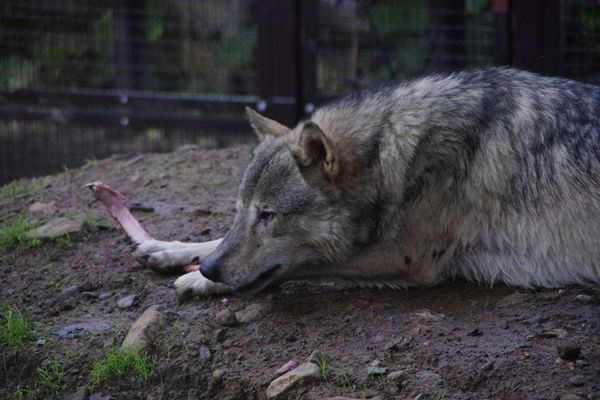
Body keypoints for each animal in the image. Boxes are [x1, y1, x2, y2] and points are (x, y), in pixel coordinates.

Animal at [127, 67, 600, 297]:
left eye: (269, 216)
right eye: (242, 213)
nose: (210, 270)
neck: (391, 150)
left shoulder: (408, 257)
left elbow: (311, 261)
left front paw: (198, 280)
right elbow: (213, 240)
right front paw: (168, 249)